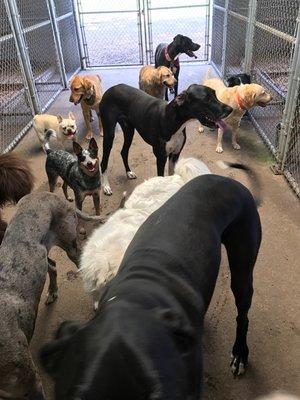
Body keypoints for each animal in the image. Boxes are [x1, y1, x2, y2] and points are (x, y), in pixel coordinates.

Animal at [97, 84, 231, 195]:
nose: (230, 109)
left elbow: (171, 173)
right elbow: (161, 177)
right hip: (109, 135)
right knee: (103, 162)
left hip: (129, 131)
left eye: (215, 95)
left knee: (124, 152)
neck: (173, 121)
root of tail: (111, 89)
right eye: (207, 99)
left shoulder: (175, 154)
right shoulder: (161, 157)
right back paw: (106, 187)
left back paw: (128, 172)